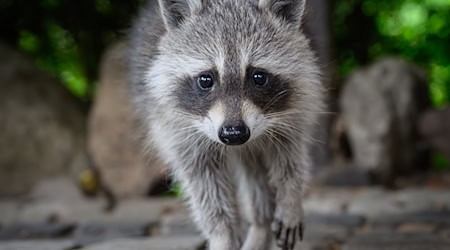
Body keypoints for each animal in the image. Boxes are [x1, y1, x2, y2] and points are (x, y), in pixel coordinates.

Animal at [128, 0, 326, 249]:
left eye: (258, 77)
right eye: (206, 79)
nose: (233, 133)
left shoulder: (296, 109)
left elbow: (290, 157)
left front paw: (290, 197)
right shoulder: (177, 129)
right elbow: (205, 186)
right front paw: (222, 234)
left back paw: (262, 223)